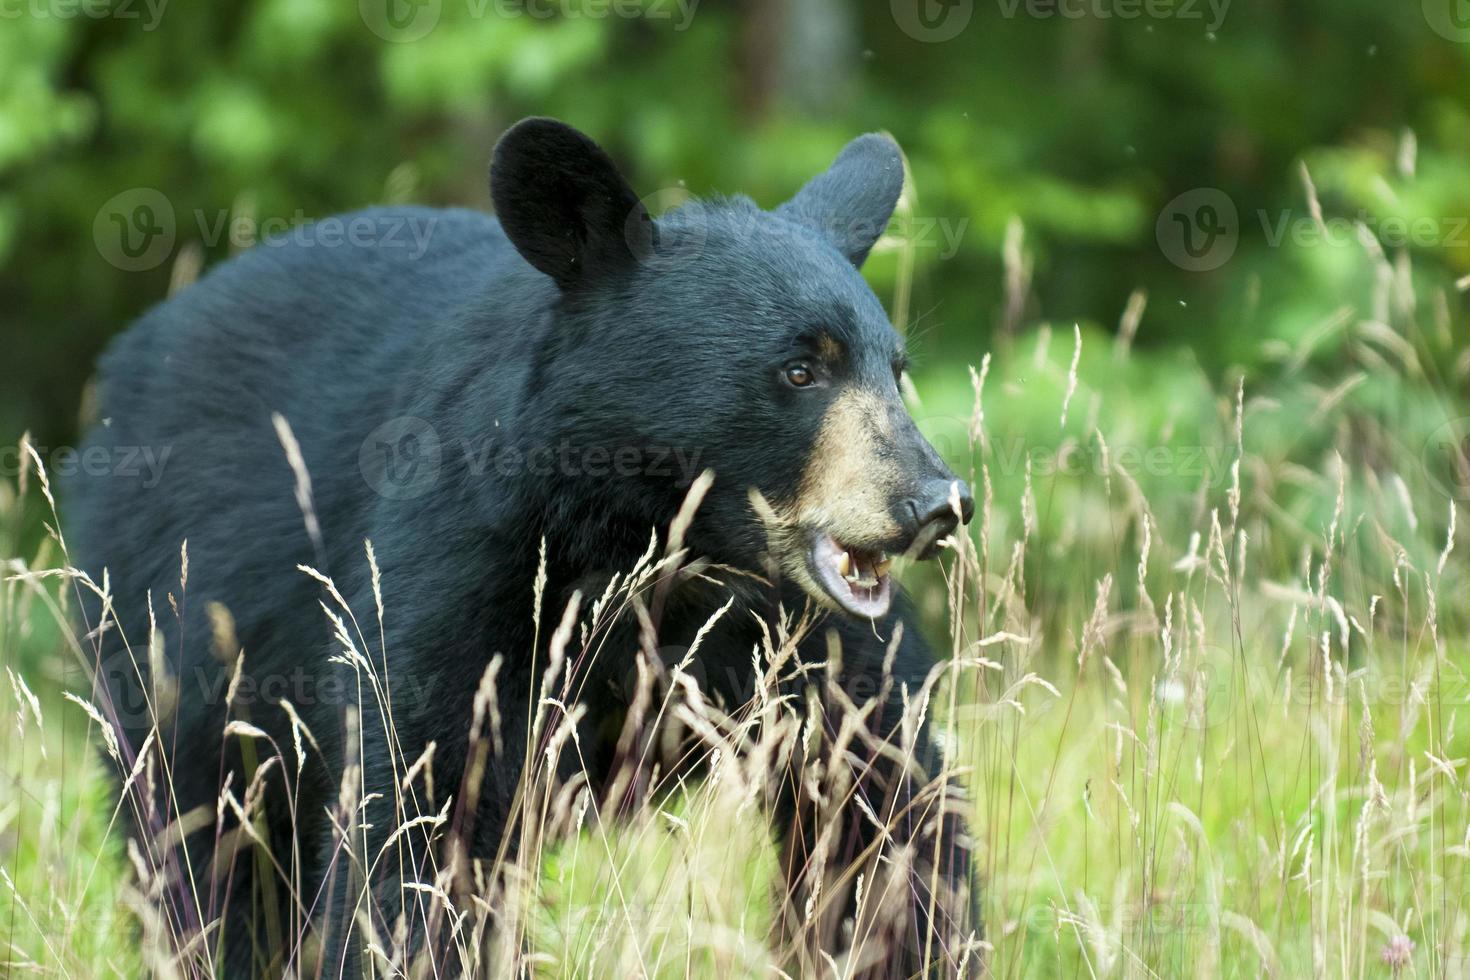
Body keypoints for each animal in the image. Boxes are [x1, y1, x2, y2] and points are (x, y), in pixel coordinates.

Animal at [74, 119, 981, 975]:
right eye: (799, 370)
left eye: (895, 369)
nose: (937, 502)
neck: (660, 546)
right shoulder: (467, 566)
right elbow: (422, 807)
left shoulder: (808, 634)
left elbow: (881, 803)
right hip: (173, 622)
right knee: (207, 845)